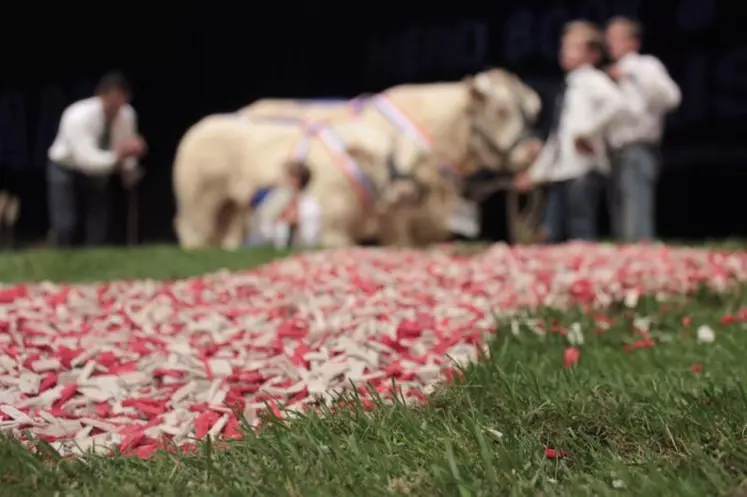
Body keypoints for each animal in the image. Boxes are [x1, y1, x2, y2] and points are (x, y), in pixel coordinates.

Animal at [174, 114, 438, 250]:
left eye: (416, 161)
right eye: (385, 159)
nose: (407, 191)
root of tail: (202, 125)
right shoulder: (330, 229)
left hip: (231, 205)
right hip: (199, 199)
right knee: (191, 227)